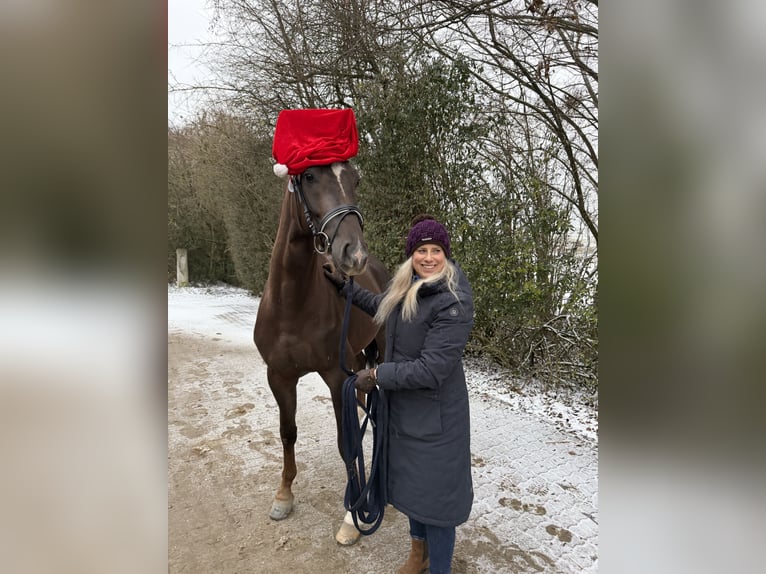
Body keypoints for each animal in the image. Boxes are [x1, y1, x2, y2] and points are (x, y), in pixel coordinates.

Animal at [253, 161, 389, 545]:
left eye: (355, 179)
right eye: (310, 176)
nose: (354, 255)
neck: (291, 303)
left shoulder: (334, 376)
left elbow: (347, 445)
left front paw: (352, 517)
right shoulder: (279, 376)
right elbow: (288, 432)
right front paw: (283, 496)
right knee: (363, 393)